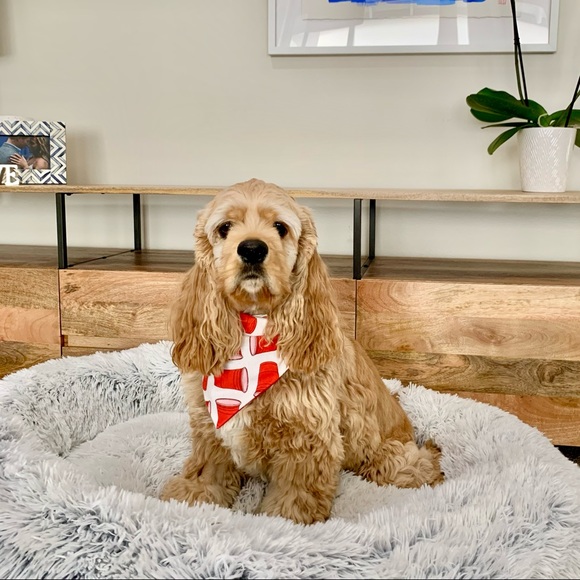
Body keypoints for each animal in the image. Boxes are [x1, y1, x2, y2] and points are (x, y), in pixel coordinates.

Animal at [160, 178, 443, 524]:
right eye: (224, 228)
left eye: (280, 227)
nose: (252, 249)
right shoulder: (209, 428)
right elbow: (208, 470)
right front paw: (193, 497)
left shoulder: (308, 437)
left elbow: (293, 497)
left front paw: (281, 522)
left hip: (376, 444)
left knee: (408, 462)